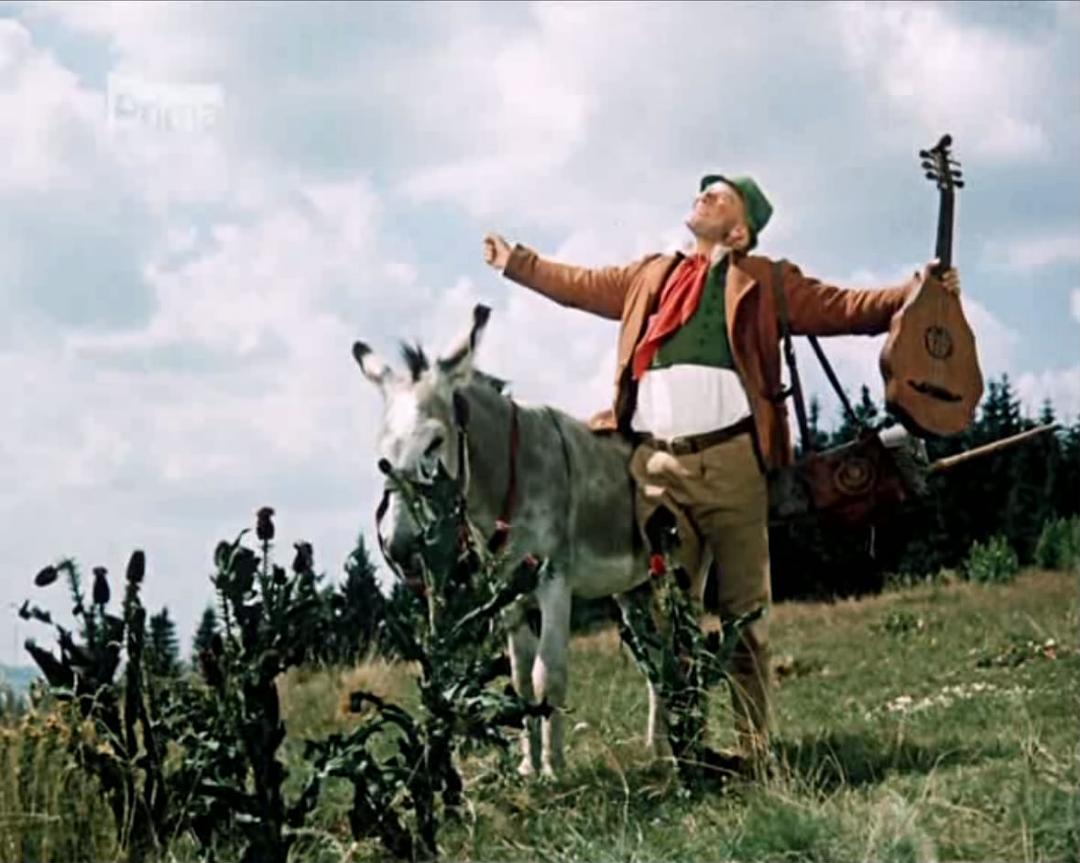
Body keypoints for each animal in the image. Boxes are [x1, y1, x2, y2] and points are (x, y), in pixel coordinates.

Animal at [352, 303, 695, 777]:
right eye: (381, 453)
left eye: (435, 442)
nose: (398, 546)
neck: (505, 481)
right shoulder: (508, 595)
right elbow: (519, 680)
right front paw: (529, 768)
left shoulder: (553, 580)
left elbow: (547, 674)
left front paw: (554, 767)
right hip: (635, 588)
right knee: (656, 659)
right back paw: (658, 750)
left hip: (680, 573)